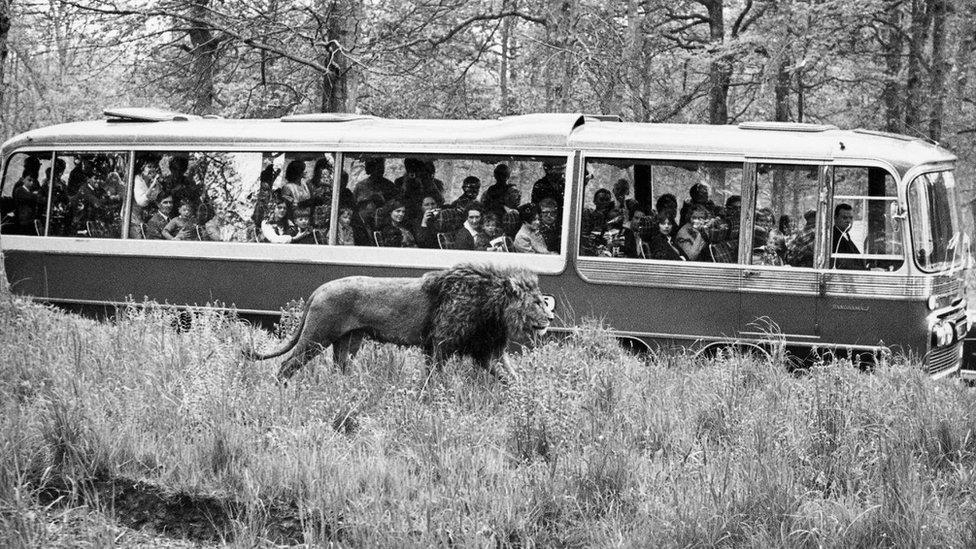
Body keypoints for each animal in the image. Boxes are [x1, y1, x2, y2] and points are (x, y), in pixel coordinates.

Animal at [243, 262, 552, 382]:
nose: (550, 317)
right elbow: (435, 378)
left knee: (340, 368)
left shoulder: (489, 353)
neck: (494, 310)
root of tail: (320, 289)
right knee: (287, 365)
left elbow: (514, 379)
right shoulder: (438, 345)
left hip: (349, 341)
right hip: (318, 335)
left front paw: (528, 400)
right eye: (537, 302)